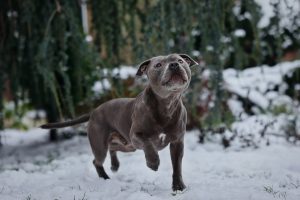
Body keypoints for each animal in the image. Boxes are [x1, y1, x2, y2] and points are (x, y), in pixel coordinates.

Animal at [41, 53, 198, 192]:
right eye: (158, 65)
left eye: (180, 60)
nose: (174, 65)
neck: (167, 104)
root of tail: (94, 111)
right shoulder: (136, 135)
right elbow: (148, 144)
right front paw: (153, 162)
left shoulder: (177, 142)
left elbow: (177, 167)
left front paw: (178, 187)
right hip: (102, 145)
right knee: (97, 161)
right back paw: (105, 178)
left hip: (127, 145)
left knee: (112, 148)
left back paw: (114, 165)